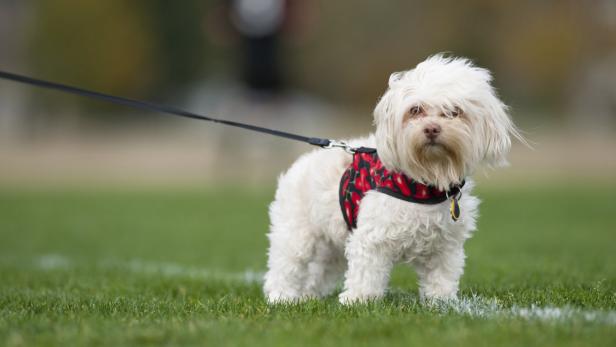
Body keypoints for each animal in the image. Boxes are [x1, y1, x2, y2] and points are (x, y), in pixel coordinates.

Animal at [262, 55, 524, 304]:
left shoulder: (445, 246)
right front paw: (358, 300)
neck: (424, 181)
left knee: (318, 272)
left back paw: (307, 296)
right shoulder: (371, 238)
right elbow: (366, 273)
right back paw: (282, 297)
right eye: (415, 110)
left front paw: (442, 302)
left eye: (454, 111)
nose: (432, 128)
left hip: (331, 245)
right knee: (285, 267)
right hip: (296, 234)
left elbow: (441, 277)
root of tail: (300, 163)